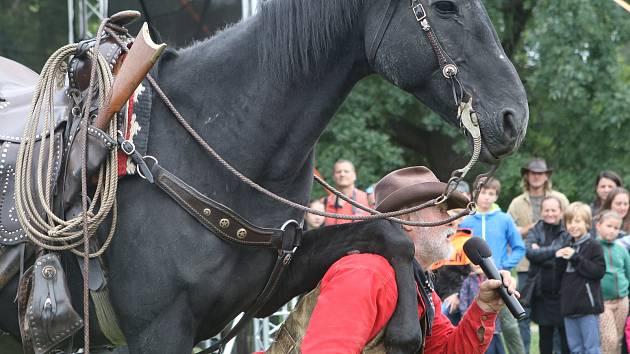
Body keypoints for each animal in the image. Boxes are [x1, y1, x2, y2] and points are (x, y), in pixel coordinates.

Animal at [1, 0, 528, 352]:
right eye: (444, 8)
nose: (513, 118)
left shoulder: (278, 276)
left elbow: (388, 235)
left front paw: (402, 326)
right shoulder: (157, 327)